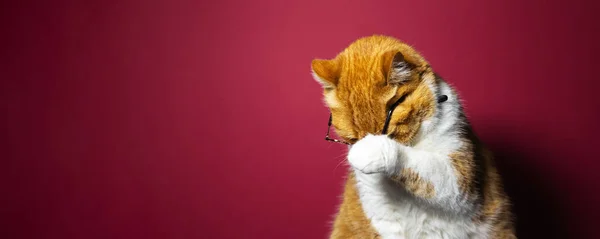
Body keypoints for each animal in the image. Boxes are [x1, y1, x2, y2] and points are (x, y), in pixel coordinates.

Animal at [312, 36, 512, 239]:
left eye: (388, 133)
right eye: (352, 139)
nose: (364, 141)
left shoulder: (460, 180)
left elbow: (422, 166)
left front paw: (370, 150)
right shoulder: (380, 210)